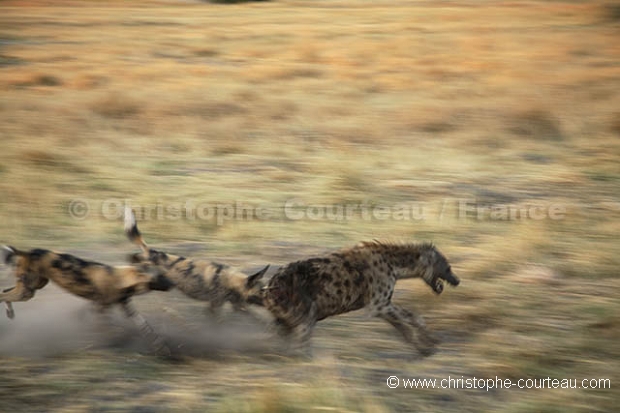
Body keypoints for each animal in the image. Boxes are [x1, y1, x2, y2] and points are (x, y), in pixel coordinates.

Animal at [1, 245, 174, 354]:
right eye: (160, 277)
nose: (172, 283)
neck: (121, 279)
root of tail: (27, 252)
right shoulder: (101, 310)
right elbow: (107, 329)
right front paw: (109, 342)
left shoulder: (124, 308)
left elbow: (147, 329)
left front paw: (163, 349)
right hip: (27, 292)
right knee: (2, 295)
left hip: (34, 287)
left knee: (4, 291)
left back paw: (10, 314)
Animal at [124, 208, 270, 318]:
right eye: (261, 292)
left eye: (266, 290)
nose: (270, 303)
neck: (230, 280)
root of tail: (154, 253)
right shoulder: (216, 305)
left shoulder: (237, 305)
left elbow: (257, 319)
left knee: (137, 256)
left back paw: (132, 262)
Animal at [262, 240, 460, 356]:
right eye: (448, 267)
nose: (457, 280)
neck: (395, 265)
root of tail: (269, 285)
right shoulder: (379, 304)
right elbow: (413, 317)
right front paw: (430, 343)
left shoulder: (382, 306)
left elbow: (403, 326)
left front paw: (425, 347)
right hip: (304, 311)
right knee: (301, 336)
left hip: (283, 316)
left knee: (279, 334)